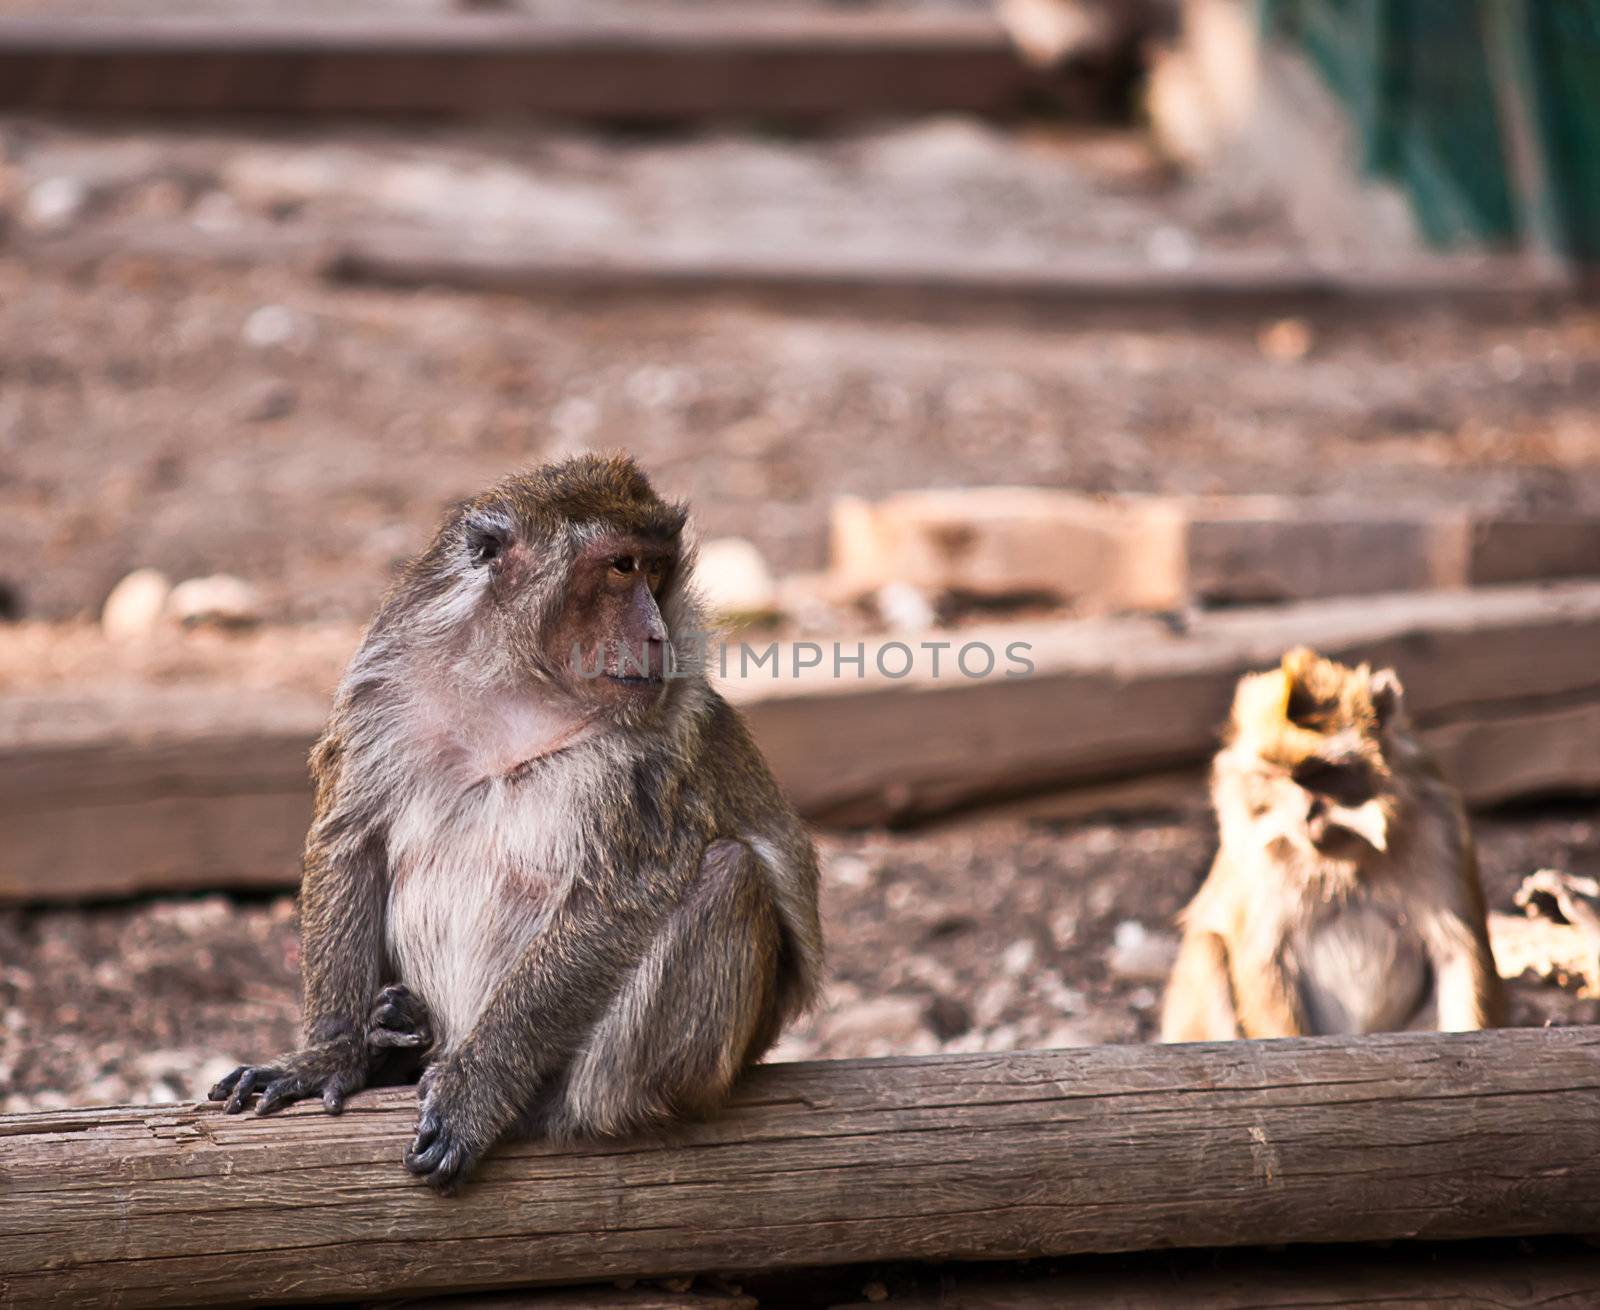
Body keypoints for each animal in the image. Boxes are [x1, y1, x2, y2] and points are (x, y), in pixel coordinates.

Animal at [206, 457, 825, 1196]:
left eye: (654, 570)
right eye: (620, 567)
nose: (657, 635)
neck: (517, 684)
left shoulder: (655, 747)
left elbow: (619, 895)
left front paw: (481, 1091)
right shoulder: (380, 689)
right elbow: (348, 839)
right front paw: (327, 1056)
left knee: (731, 874)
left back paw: (534, 1099)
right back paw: (395, 1036)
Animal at [1164, 649, 1497, 1042]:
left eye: (1322, 774)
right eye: (1275, 776)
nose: (1304, 815)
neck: (1345, 857)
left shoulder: (1440, 826)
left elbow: (1459, 954)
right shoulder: (1254, 855)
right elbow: (1263, 962)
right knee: (1208, 947)